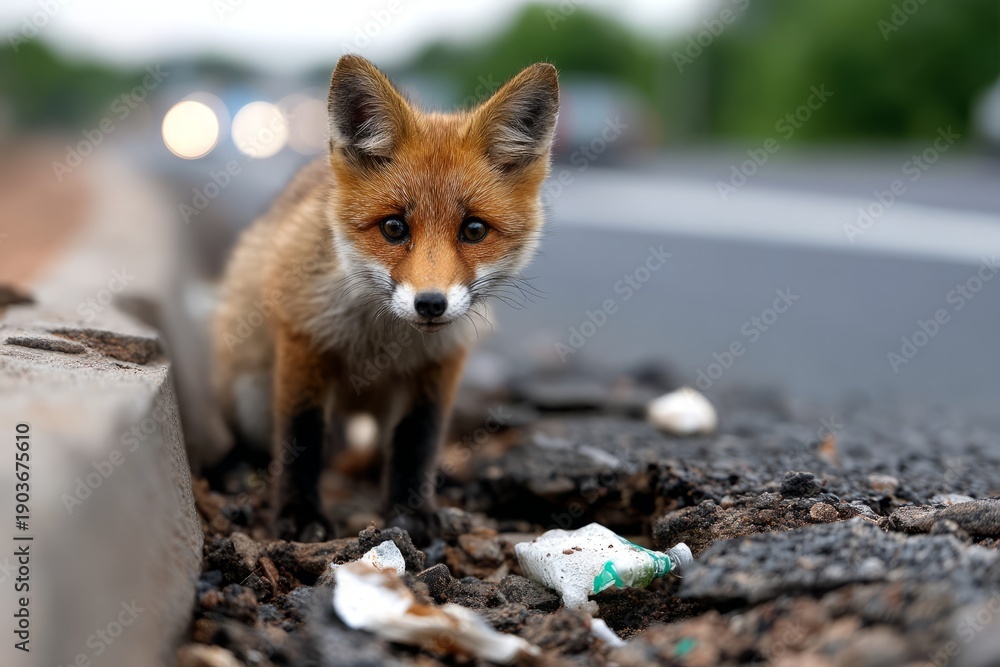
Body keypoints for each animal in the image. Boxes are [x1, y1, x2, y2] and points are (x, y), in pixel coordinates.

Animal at [212, 55, 559, 542]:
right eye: (394, 228)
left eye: (474, 230)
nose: (430, 303)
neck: (379, 340)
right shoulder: (304, 340)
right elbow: (302, 439)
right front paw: (299, 514)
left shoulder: (439, 363)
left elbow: (417, 444)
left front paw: (411, 514)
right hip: (248, 392)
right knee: (261, 441)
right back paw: (239, 469)